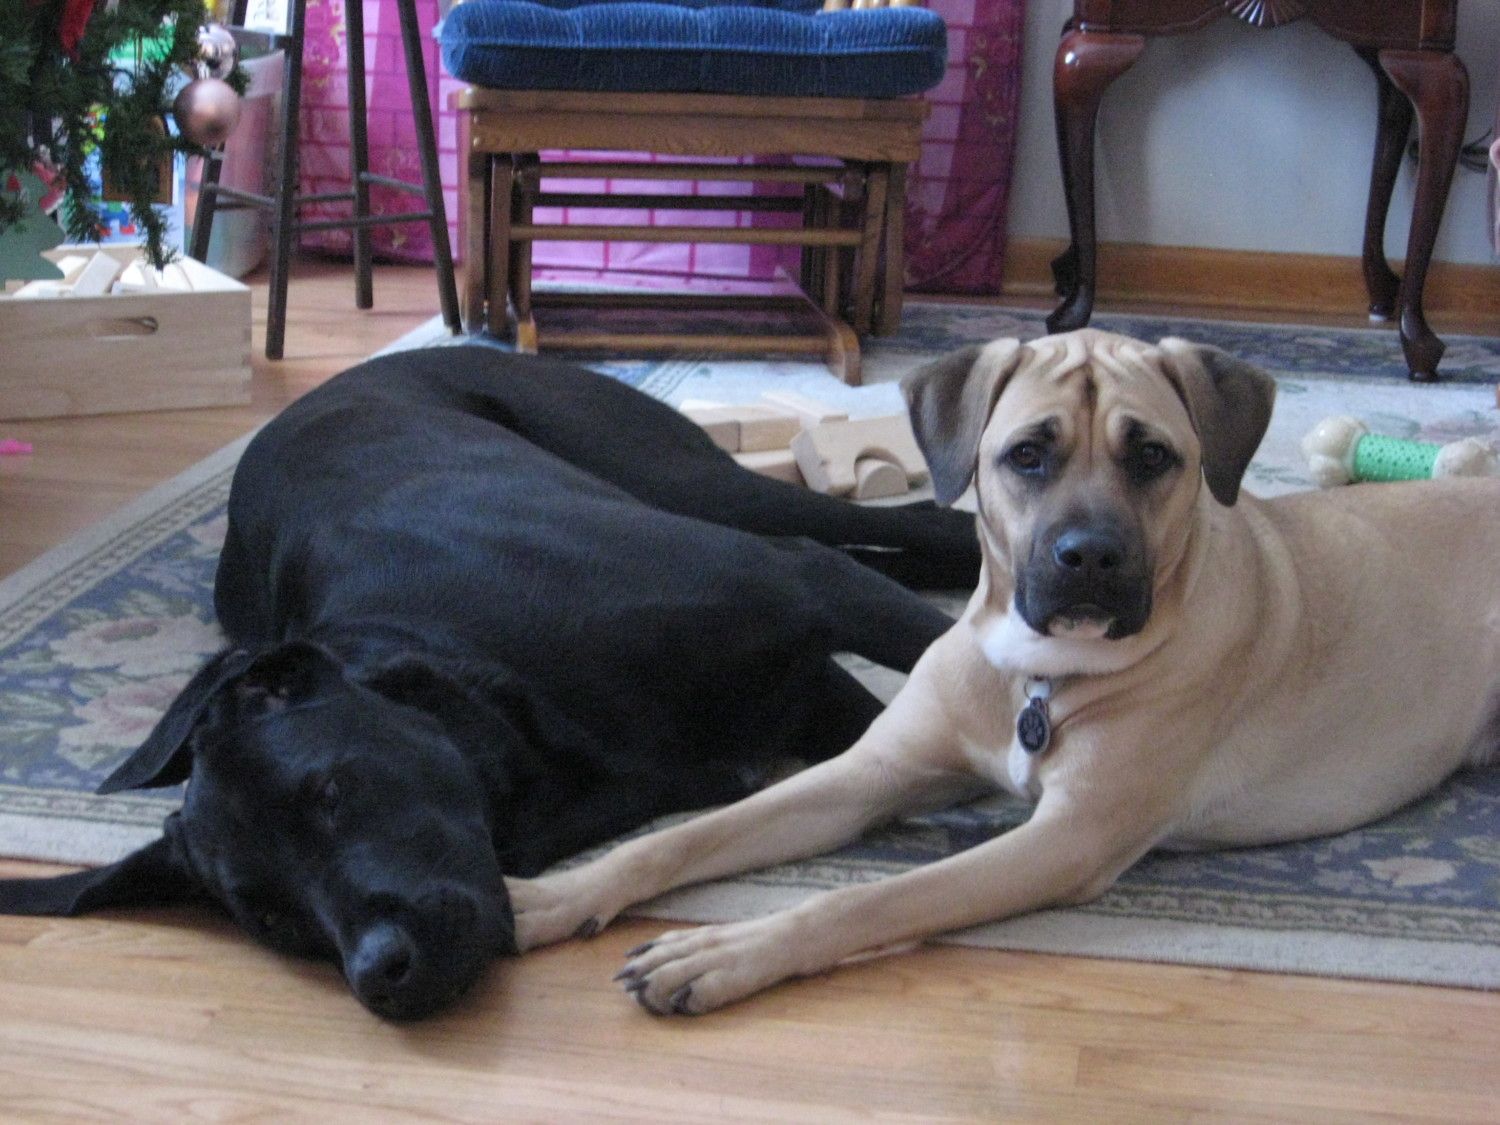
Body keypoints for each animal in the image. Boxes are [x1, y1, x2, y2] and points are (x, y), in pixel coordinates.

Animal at [0, 346, 982, 1020]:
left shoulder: (799, 595)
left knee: (916, 523)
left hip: (700, 486)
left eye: (332, 790)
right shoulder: (815, 700)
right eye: (268, 917)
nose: (381, 972)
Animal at [506, 328, 1500, 1016]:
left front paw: (717, 952)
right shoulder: (874, 770)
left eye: (1153, 456)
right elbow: (678, 839)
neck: (1039, 673)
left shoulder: (1069, 836)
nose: (1089, 556)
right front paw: (559, 893)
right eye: (1027, 454)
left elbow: (870, 897)